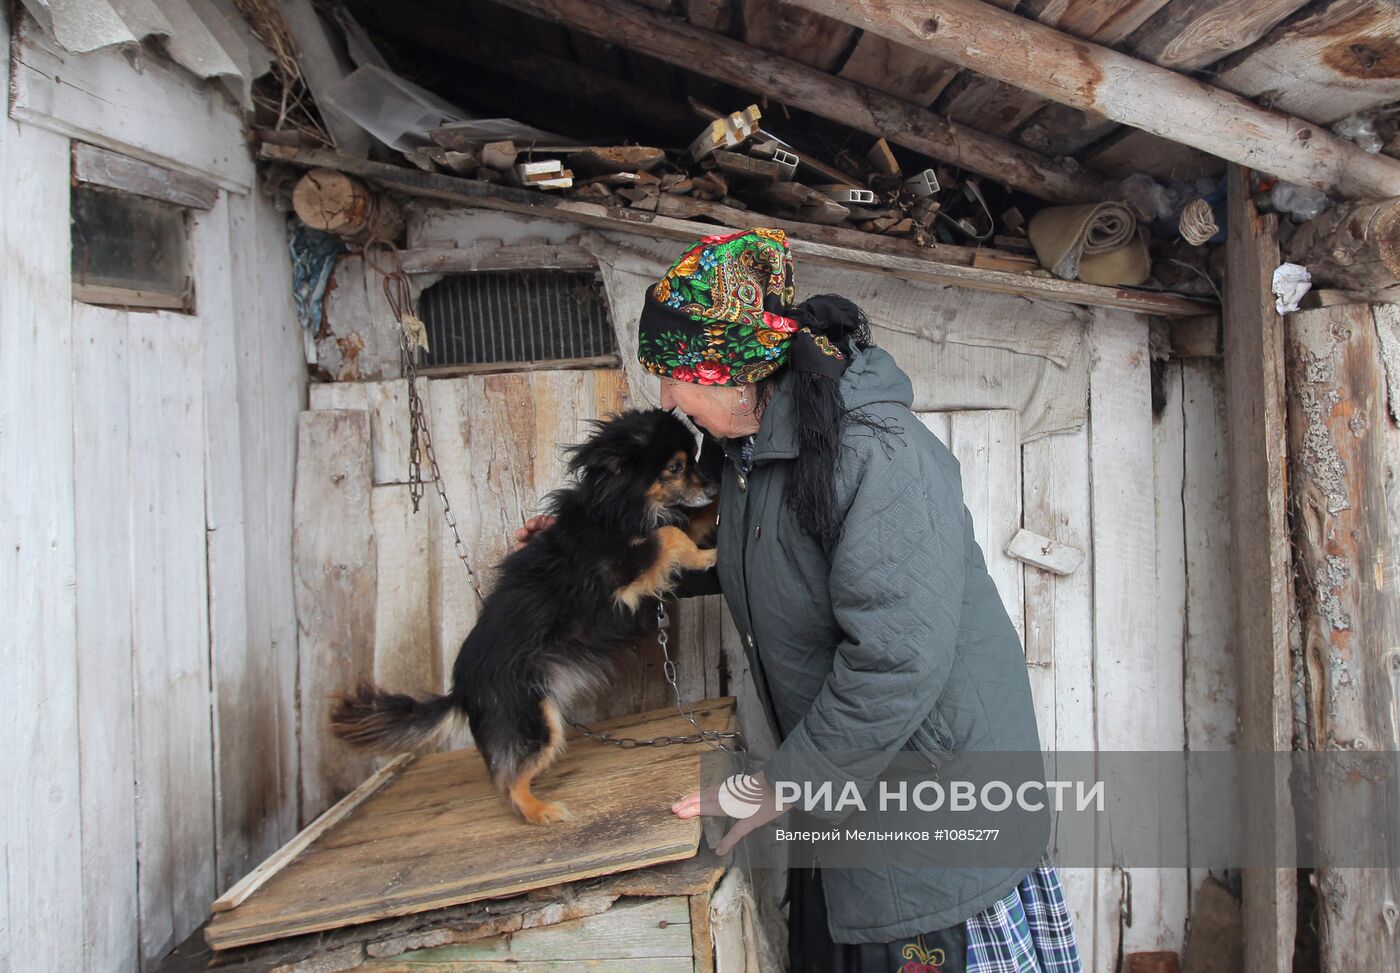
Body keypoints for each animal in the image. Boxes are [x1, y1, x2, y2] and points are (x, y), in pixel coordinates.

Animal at [331, 406, 716, 823]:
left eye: (695, 459)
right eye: (676, 467)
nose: (714, 487)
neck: (616, 507)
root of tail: (461, 689)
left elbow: (690, 524)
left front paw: (719, 516)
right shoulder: (620, 576)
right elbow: (671, 537)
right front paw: (709, 556)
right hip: (532, 717)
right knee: (510, 781)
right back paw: (540, 810)